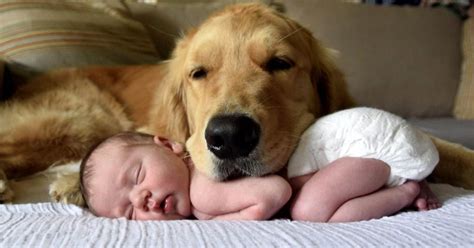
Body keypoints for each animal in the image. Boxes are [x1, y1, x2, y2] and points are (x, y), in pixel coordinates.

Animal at [0, 2, 474, 204]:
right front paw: (76, 182)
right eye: (198, 73)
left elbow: (447, 149)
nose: (228, 137)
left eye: (280, 63)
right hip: (81, 120)